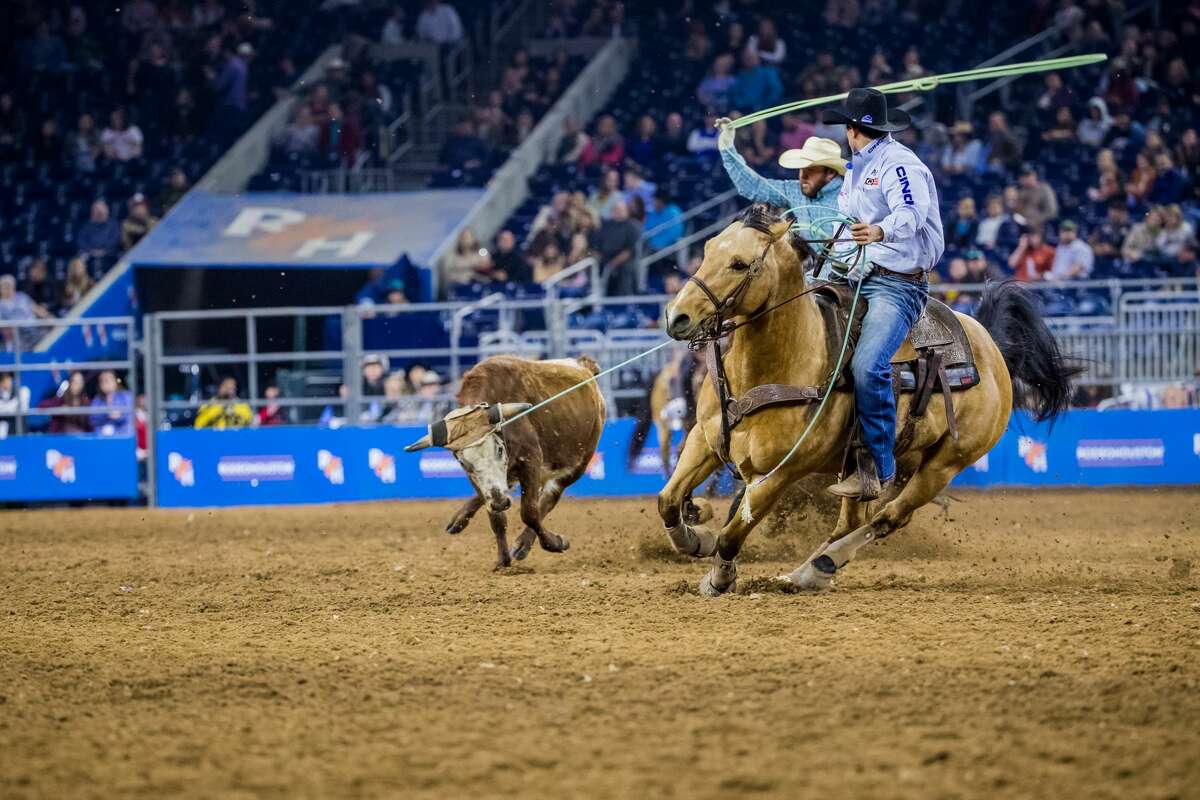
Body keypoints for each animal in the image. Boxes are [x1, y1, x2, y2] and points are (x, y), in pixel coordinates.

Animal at [662, 206, 1075, 594]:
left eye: (740, 263)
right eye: (707, 250)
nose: (676, 317)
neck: (775, 368)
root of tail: (990, 344)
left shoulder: (781, 472)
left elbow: (733, 533)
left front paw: (719, 577)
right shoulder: (704, 439)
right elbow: (668, 500)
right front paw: (696, 538)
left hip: (945, 464)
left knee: (889, 517)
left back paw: (820, 567)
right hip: (878, 464)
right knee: (851, 521)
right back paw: (802, 573)